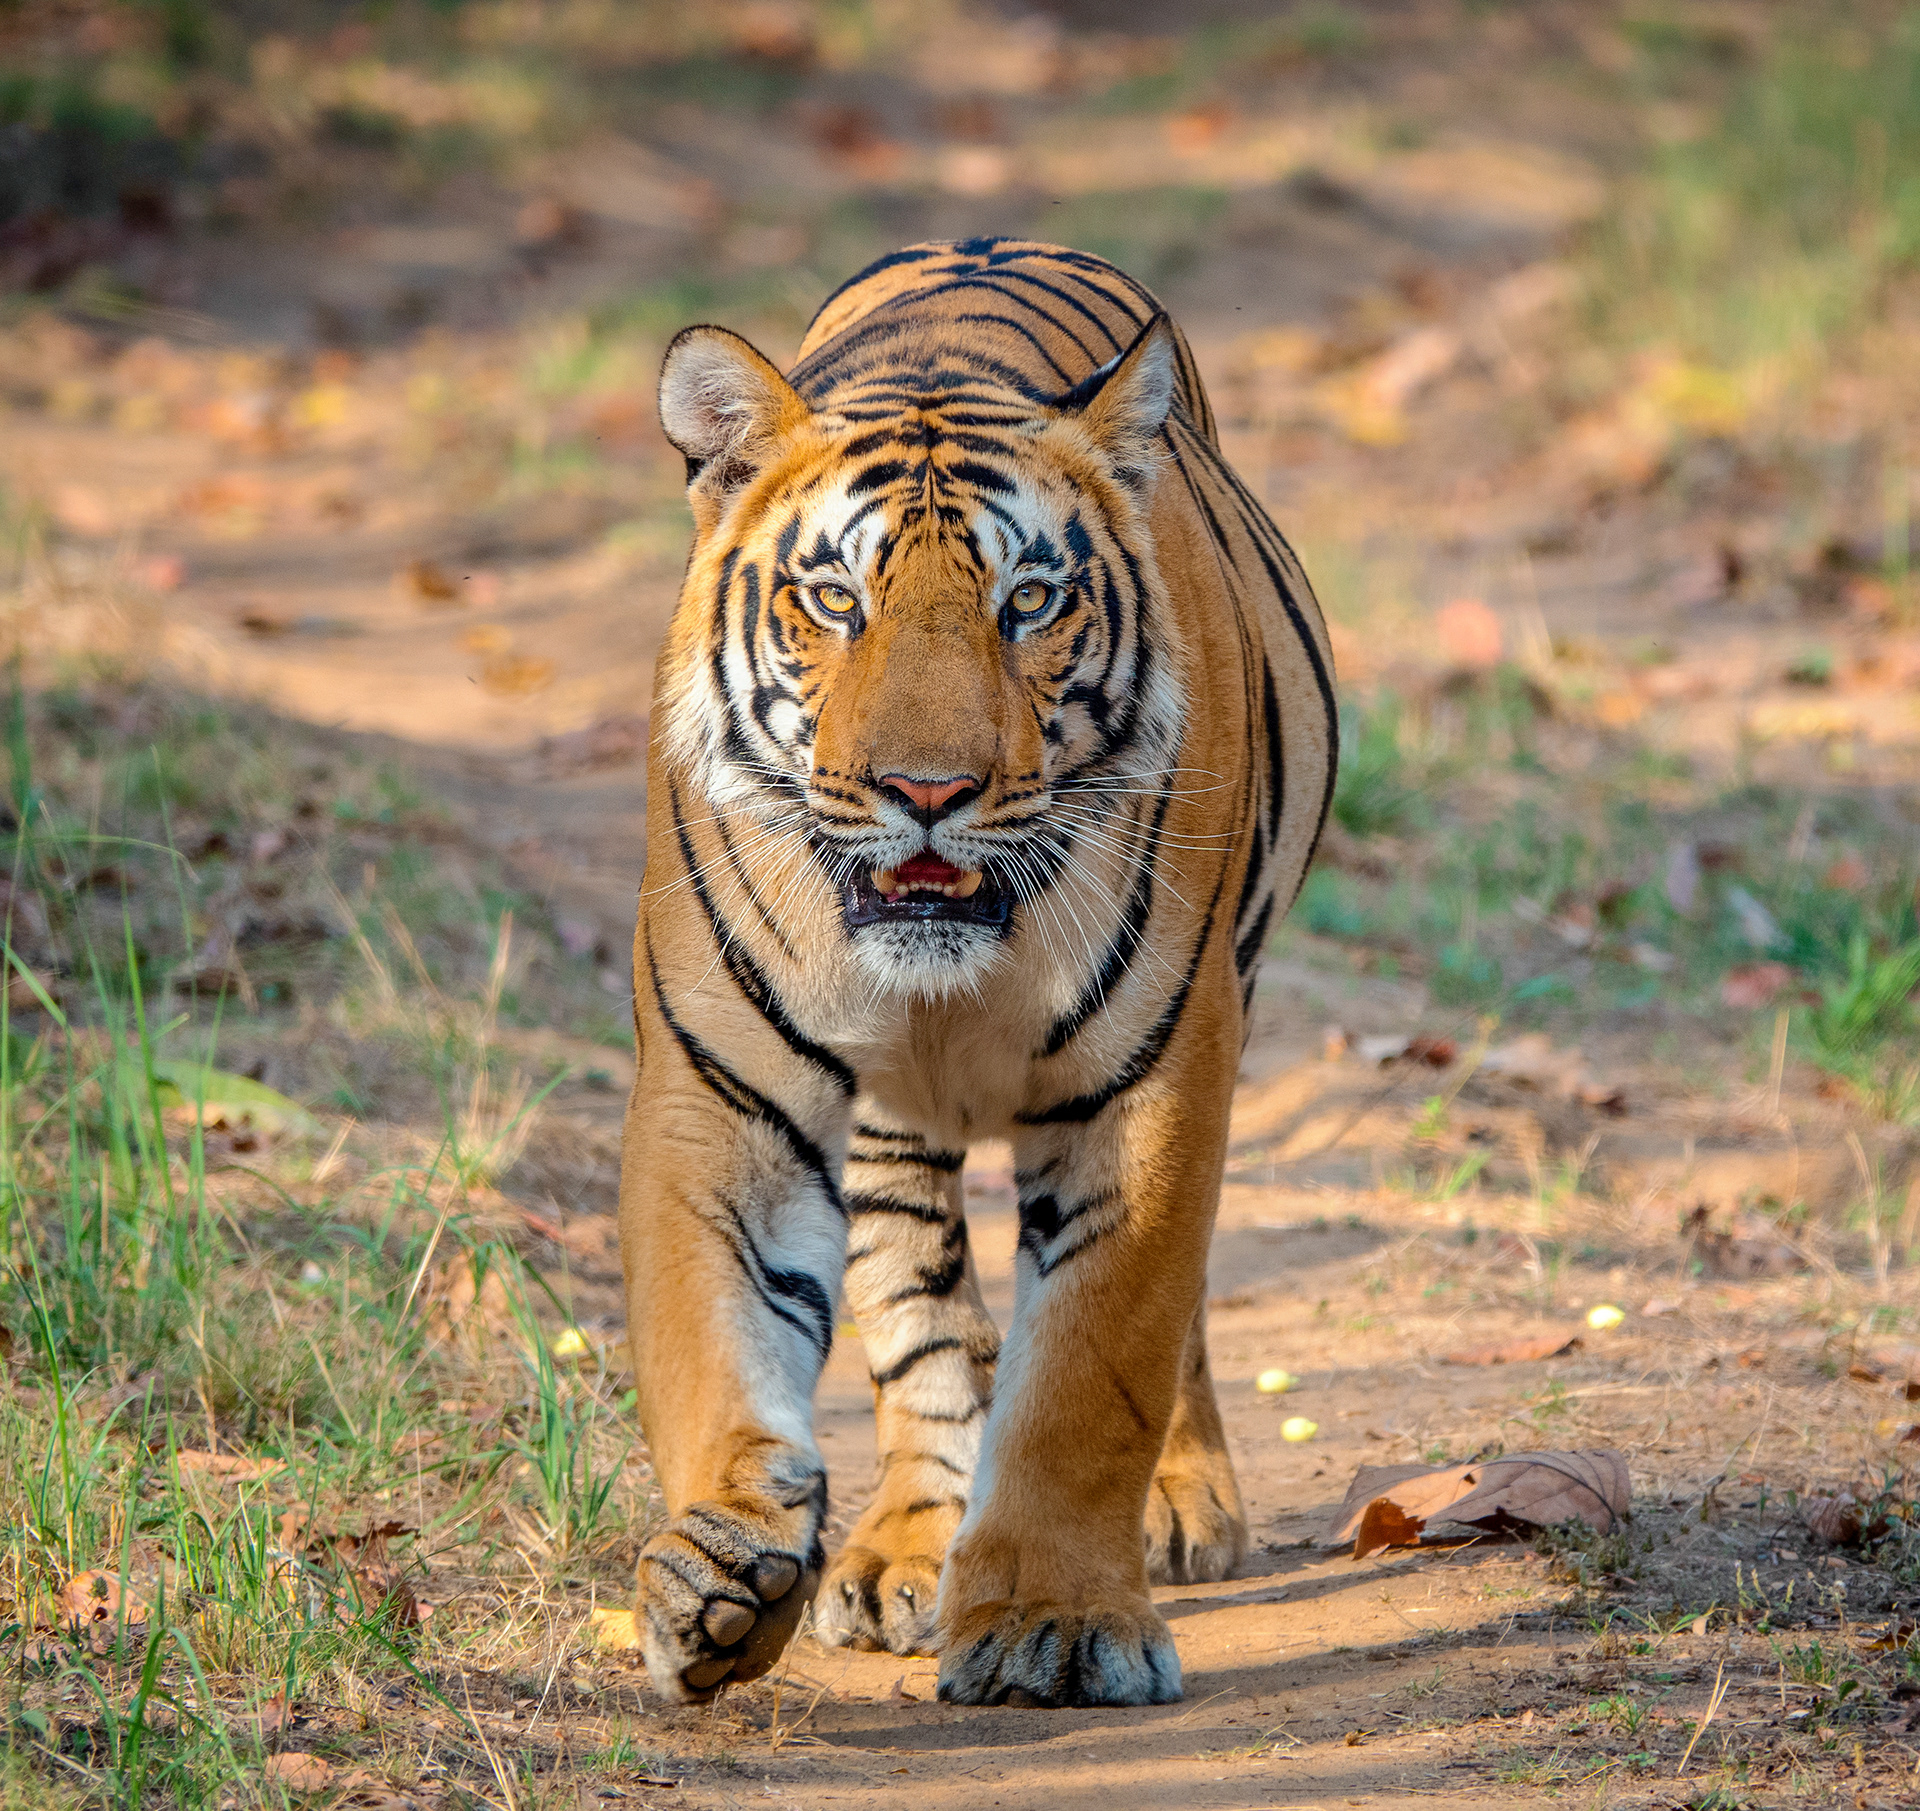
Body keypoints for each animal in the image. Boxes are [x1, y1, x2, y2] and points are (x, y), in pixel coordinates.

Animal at [619, 237, 1335, 1709]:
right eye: (836, 599)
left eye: (1031, 603)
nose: (927, 791)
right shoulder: (722, 1093)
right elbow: (718, 1333)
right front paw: (719, 1570)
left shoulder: (1155, 1078)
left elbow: (1098, 1358)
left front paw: (1056, 1618)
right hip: (893, 1116)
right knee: (917, 1298)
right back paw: (902, 1545)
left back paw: (1179, 1506)